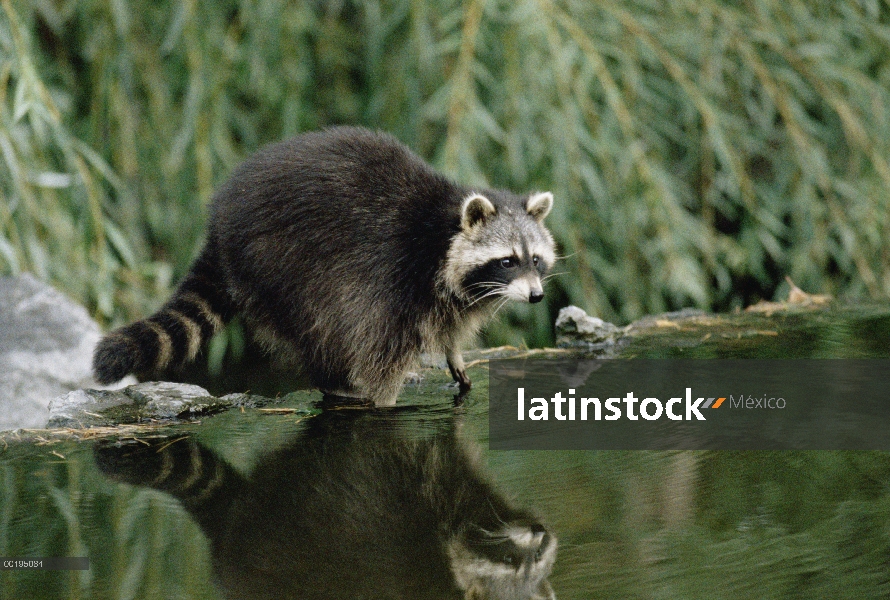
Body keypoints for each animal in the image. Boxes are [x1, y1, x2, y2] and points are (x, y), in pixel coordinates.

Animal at [97, 128, 556, 406]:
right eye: (507, 261)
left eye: (534, 259)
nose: (537, 296)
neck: (442, 231)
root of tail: (220, 220)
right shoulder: (395, 275)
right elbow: (379, 347)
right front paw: (385, 400)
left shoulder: (449, 292)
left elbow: (451, 323)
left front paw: (456, 358)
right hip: (283, 259)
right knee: (321, 321)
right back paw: (337, 381)